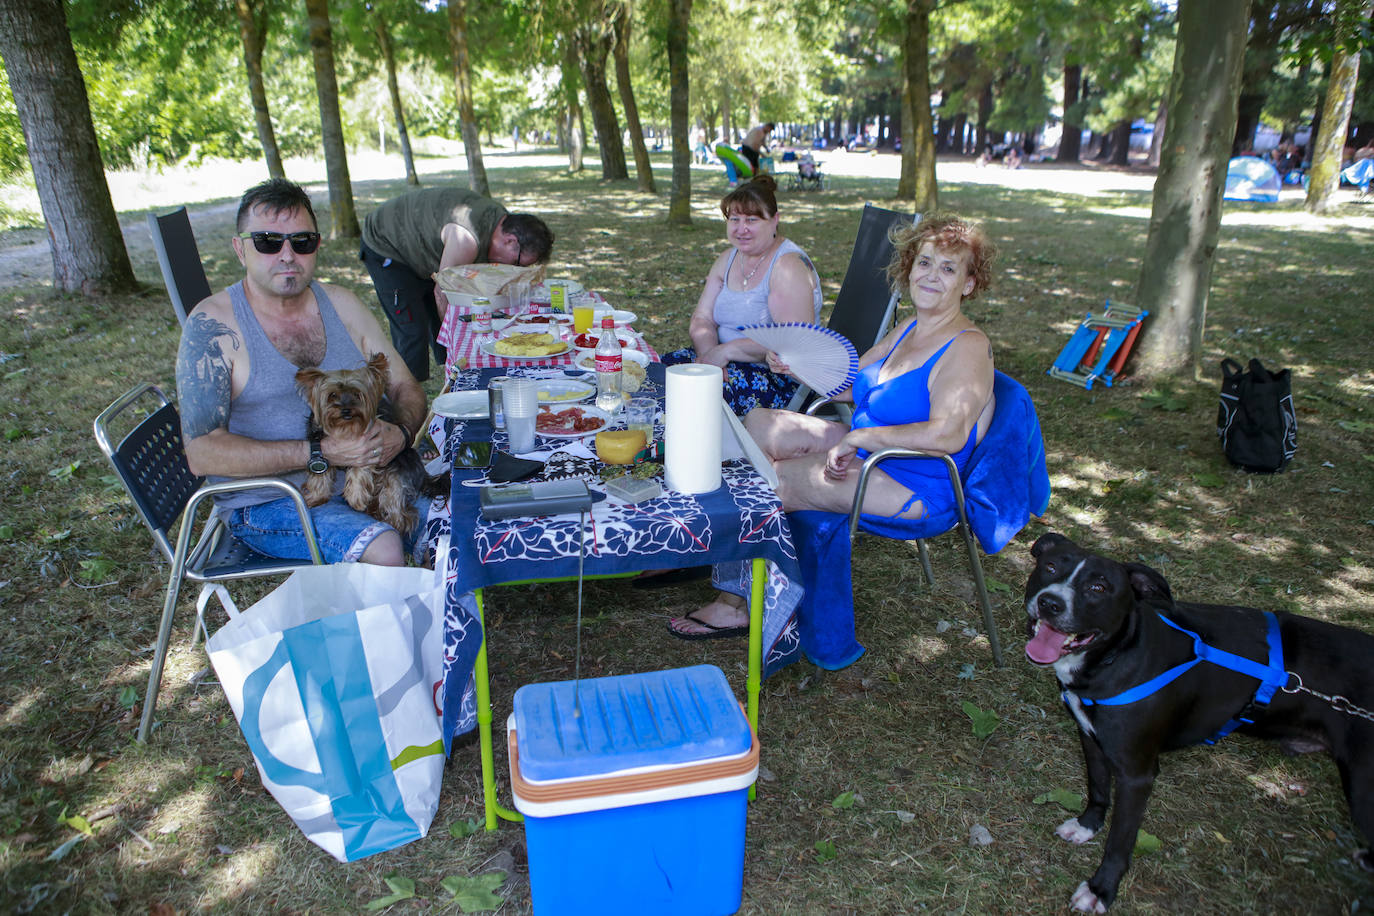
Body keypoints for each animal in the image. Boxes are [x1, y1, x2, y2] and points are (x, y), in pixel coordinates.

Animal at [1027, 532, 1368, 911]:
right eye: (1050, 566)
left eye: (1098, 587)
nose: (1050, 603)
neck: (1117, 655)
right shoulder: (1091, 740)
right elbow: (1098, 788)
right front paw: (1087, 826)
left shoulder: (1136, 775)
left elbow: (1120, 840)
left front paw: (1101, 889)